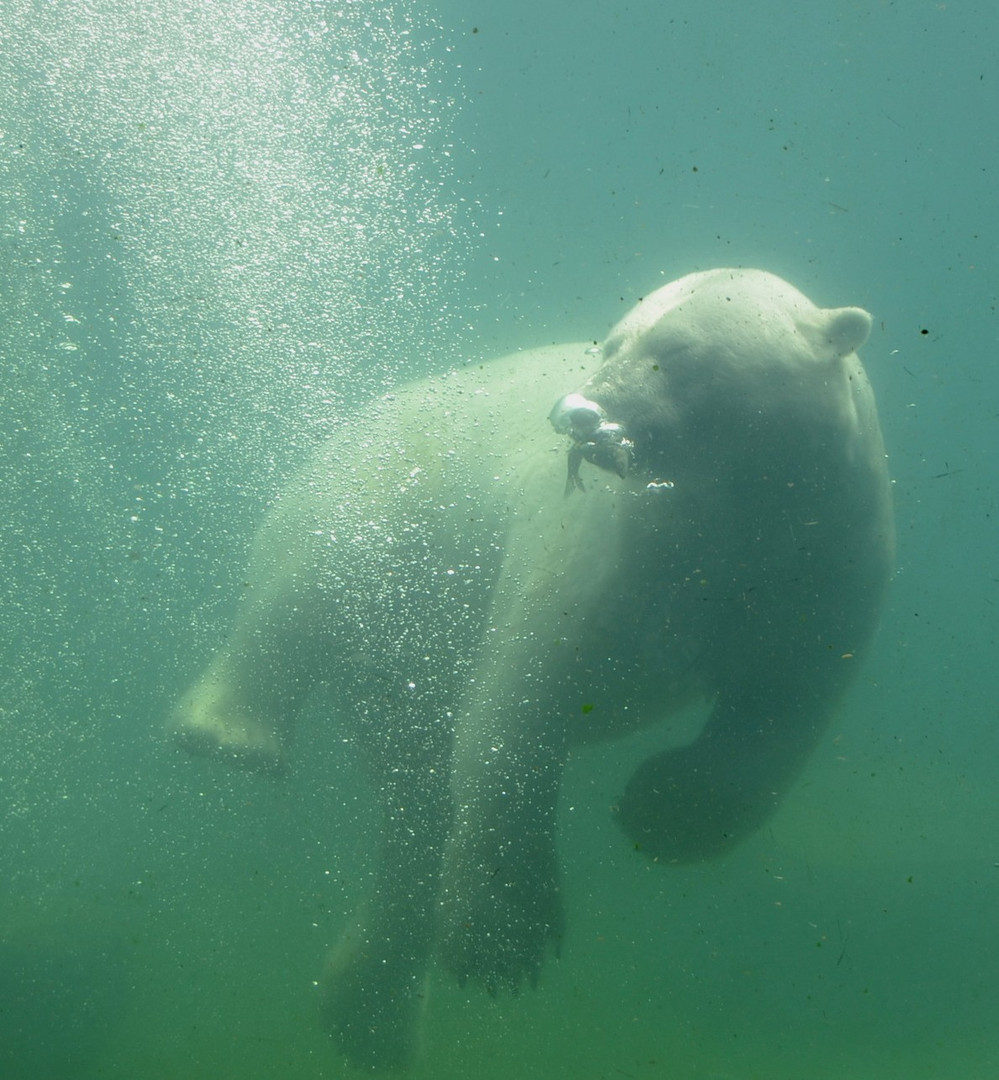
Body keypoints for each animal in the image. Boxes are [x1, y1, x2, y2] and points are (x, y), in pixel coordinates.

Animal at [167, 270, 894, 1071]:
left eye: (674, 350)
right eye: (610, 343)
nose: (584, 414)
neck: (736, 518)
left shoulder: (826, 558)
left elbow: (783, 707)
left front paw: (660, 814)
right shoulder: (606, 545)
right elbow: (521, 698)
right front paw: (502, 943)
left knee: (415, 808)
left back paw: (371, 1021)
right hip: (366, 512)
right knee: (289, 607)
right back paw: (228, 735)